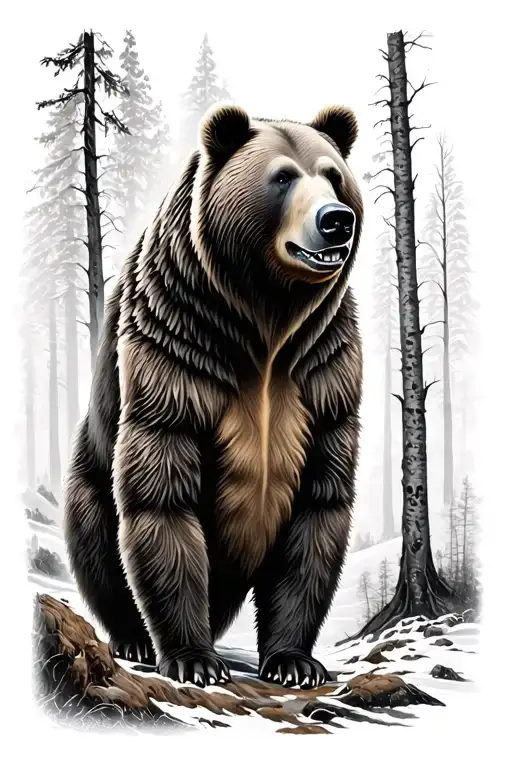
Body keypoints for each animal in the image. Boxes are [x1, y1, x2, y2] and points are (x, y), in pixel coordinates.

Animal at [64, 103, 363, 690]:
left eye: (333, 175)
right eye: (282, 177)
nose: (336, 218)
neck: (266, 318)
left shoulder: (323, 371)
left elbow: (318, 507)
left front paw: (295, 662)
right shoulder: (179, 346)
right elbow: (162, 491)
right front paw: (193, 658)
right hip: (88, 469)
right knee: (93, 532)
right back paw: (133, 637)